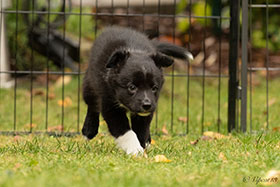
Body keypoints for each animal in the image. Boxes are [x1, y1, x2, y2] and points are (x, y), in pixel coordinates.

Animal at [81, 26, 192, 155]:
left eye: (154, 88)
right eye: (132, 87)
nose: (147, 105)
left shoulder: (146, 112)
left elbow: (141, 130)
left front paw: (142, 147)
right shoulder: (110, 105)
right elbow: (125, 131)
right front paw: (134, 149)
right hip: (89, 84)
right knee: (92, 106)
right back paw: (89, 130)